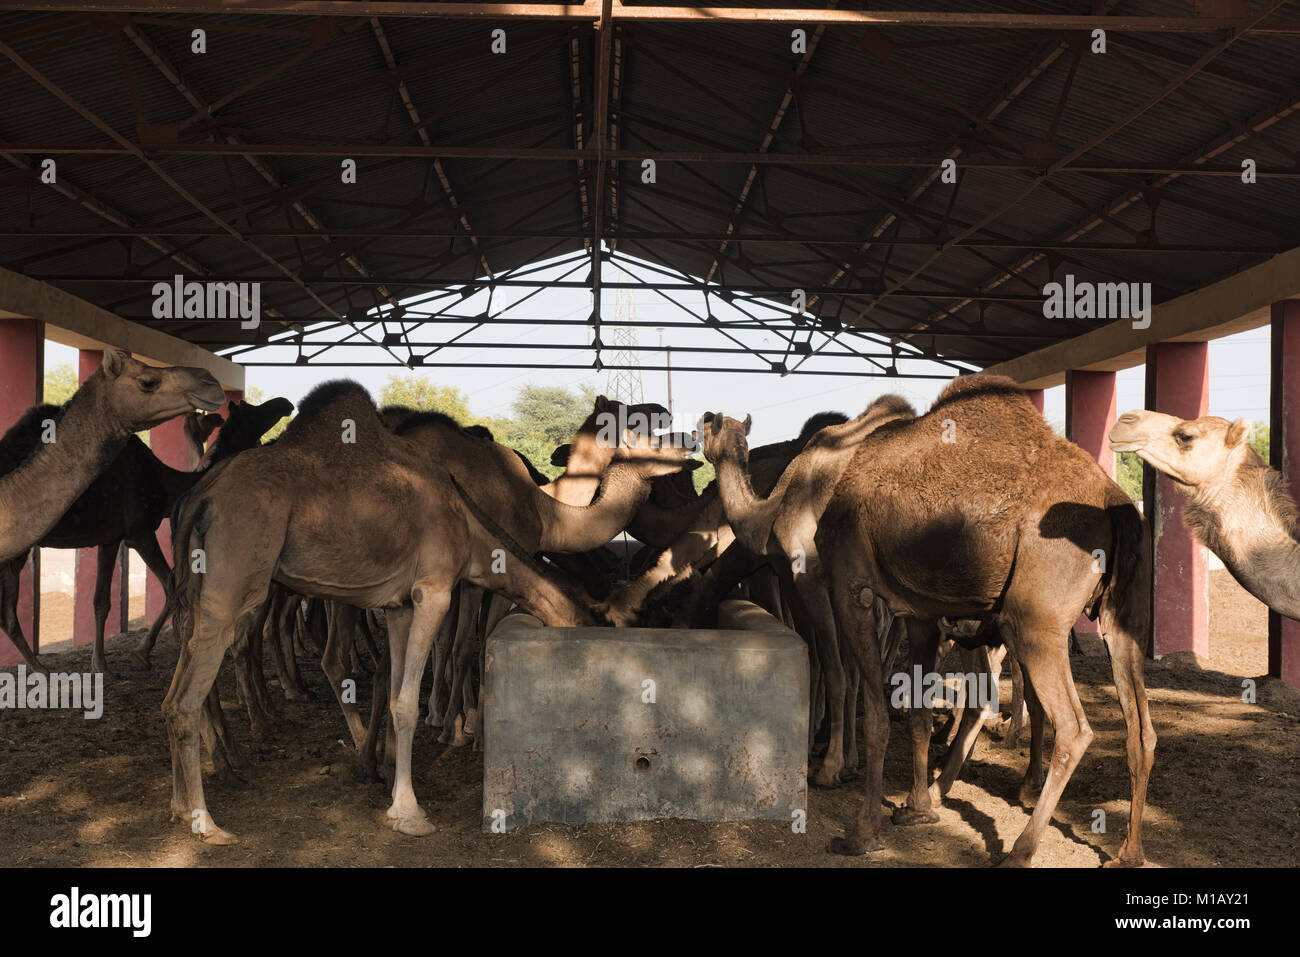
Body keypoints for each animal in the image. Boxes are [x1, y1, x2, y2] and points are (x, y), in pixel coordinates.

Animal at [166, 377, 696, 842]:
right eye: (641, 424)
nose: (687, 441)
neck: (540, 510)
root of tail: (201, 495)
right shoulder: (445, 587)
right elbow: (433, 675)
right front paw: (423, 790)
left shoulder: (401, 601)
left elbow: (396, 682)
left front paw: (391, 769)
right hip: (237, 580)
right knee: (205, 688)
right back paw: (207, 821)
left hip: (197, 588)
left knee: (179, 688)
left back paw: (191, 796)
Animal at [785, 374, 1154, 868]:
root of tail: (1119, 506)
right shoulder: (920, 612)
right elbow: (918, 713)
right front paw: (917, 809)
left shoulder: (852, 587)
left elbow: (878, 714)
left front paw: (861, 832)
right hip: (1122, 617)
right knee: (1141, 730)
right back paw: (1128, 852)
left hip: (1035, 620)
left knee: (1075, 729)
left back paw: (1020, 851)